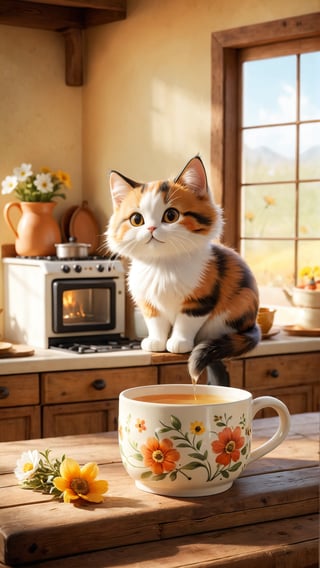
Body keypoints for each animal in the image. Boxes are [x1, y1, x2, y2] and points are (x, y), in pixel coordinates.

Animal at [106, 155, 262, 382]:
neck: (163, 265)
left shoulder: (200, 300)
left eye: (171, 215)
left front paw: (178, 342)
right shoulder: (147, 302)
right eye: (136, 219)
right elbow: (156, 322)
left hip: (238, 305)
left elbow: (185, 321)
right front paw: (156, 342)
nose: (151, 228)